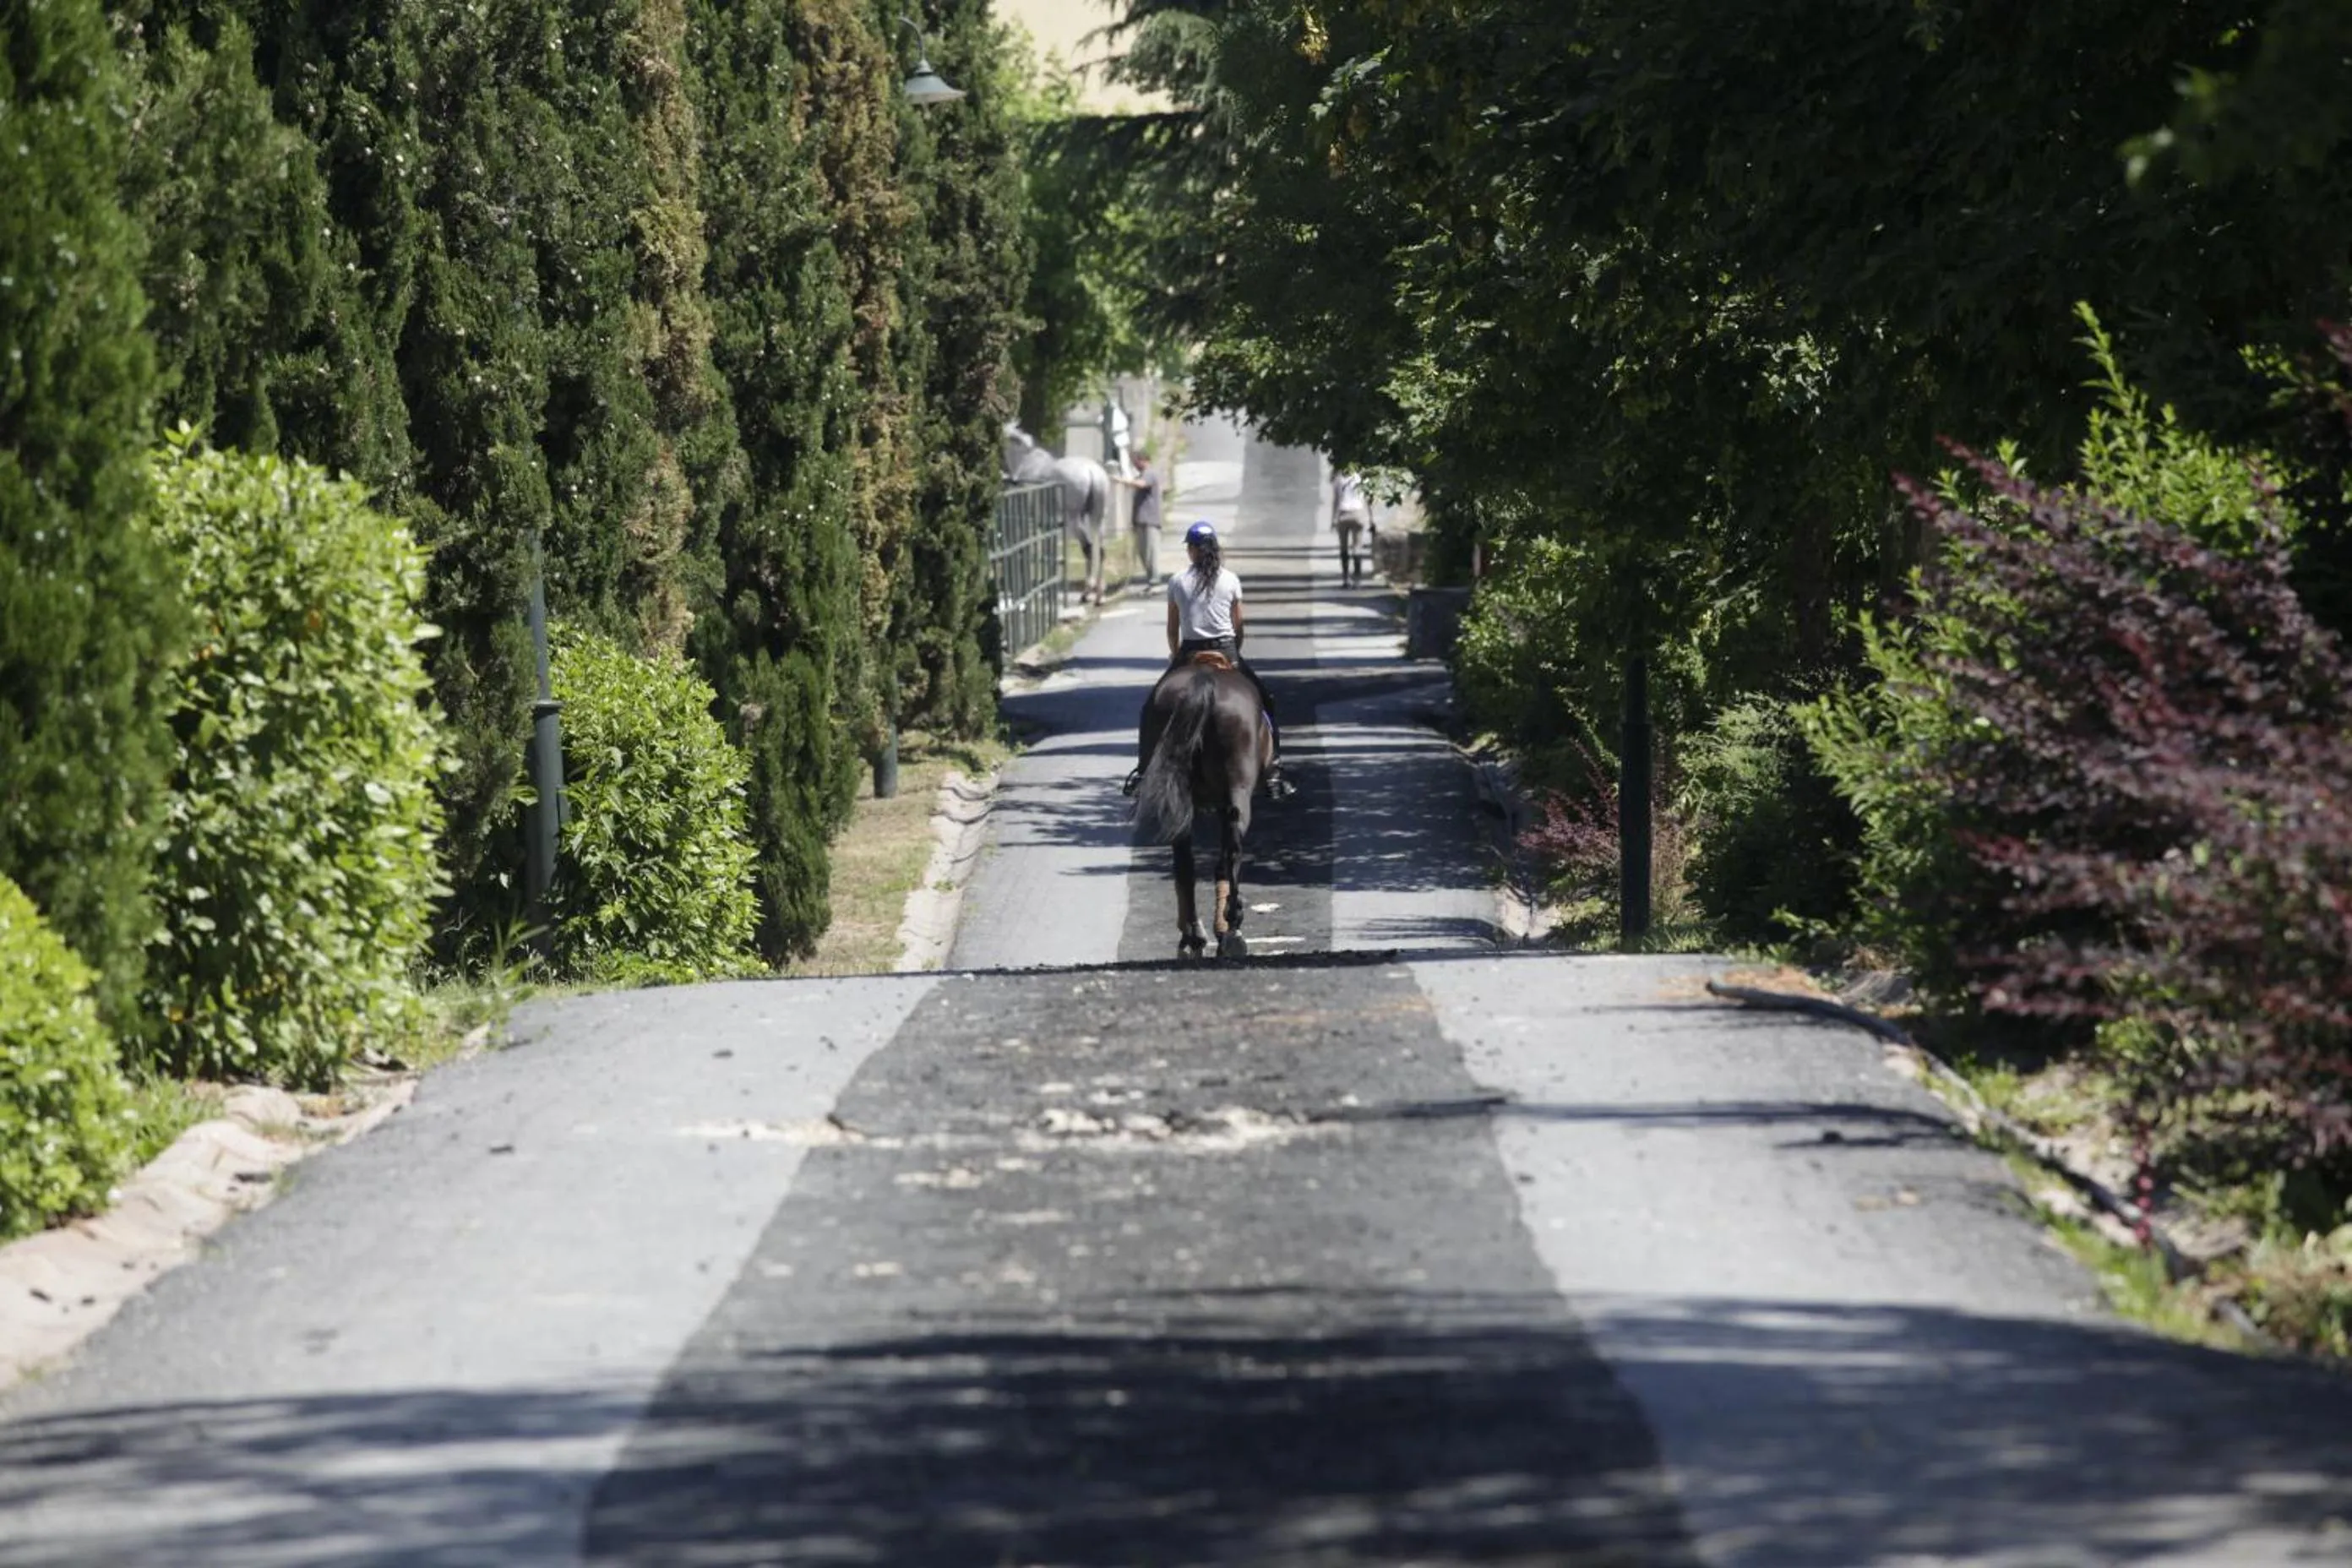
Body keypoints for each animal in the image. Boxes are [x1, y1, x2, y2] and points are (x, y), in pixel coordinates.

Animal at [1003, 423, 1111, 604]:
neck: (1026, 462)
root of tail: (1092, 472)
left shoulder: (1034, 521)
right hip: (1097, 517)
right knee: (1100, 551)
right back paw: (1099, 594)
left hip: (1074, 520)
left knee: (1088, 548)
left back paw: (1087, 592)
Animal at [1131, 652, 1271, 960]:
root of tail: (1204, 683)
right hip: (1237, 790)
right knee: (1231, 850)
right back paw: (1232, 929)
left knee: (1185, 863)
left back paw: (1192, 936)